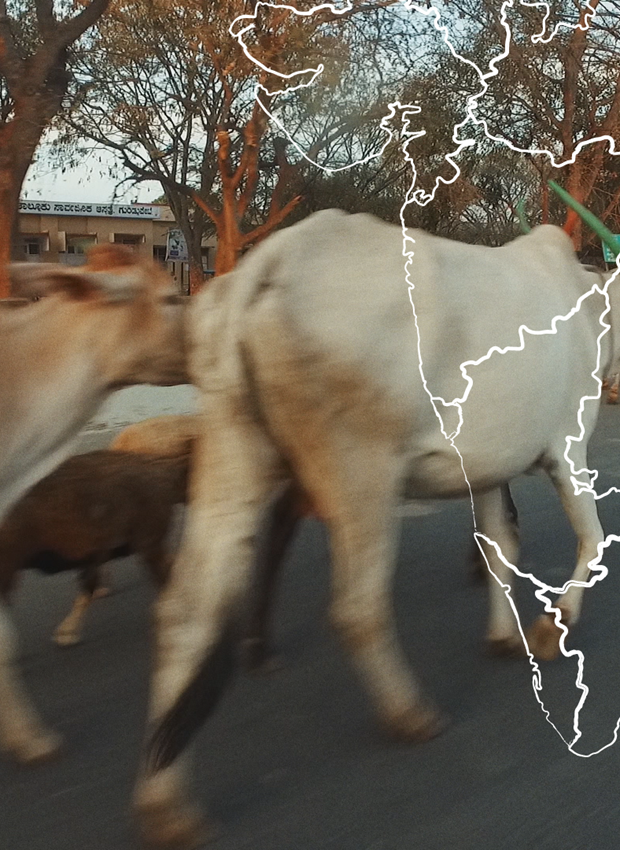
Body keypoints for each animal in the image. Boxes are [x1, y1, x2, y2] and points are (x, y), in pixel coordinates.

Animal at [134, 210, 616, 840]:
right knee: (358, 606)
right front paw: (549, 628)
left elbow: (500, 545)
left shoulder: (486, 468)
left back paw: (169, 806)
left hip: (233, 449)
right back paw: (409, 713)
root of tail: (267, 267)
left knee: (185, 612)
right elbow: (592, 538)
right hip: (362, 473)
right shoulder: (566, 449)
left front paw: (504, 635)